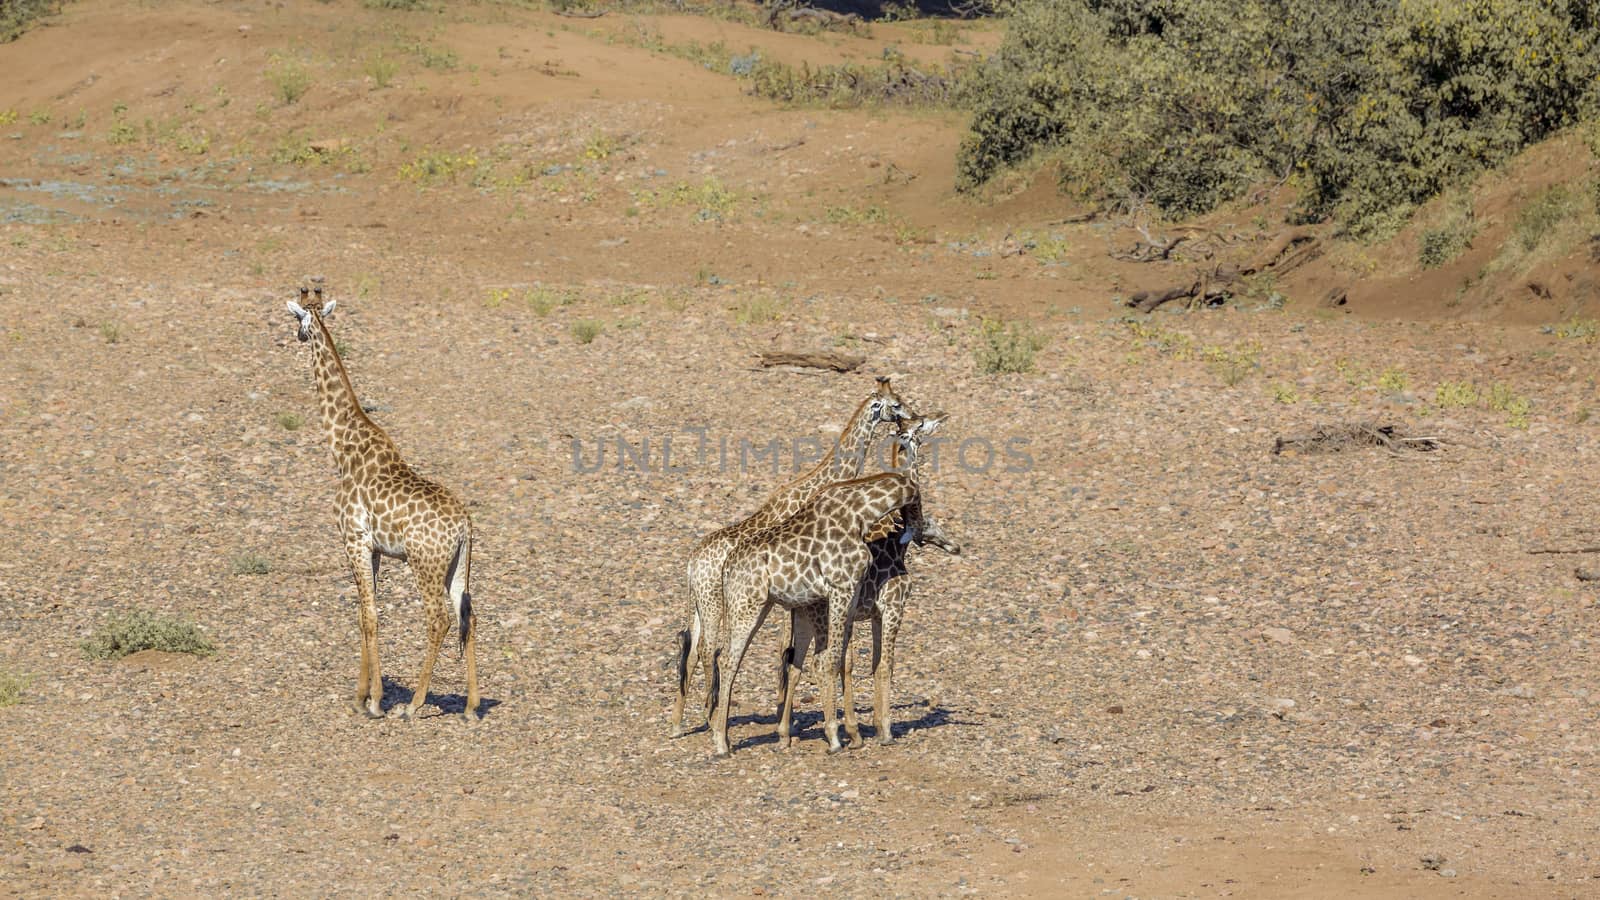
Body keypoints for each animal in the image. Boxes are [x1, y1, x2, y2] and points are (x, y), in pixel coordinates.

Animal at [284, 283, 476, 717]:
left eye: (296, 320)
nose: (297, 338)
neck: (343, 447)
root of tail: (464, 526)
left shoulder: (352, 539)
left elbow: (369, 615)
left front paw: (374, 701)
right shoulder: (372, 549)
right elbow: (364, 614)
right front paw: (362, 696)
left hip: (425, 564)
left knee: (439, 619)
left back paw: (414, 705)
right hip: (458, 565)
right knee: (468, 613)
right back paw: (473, 705)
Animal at [710, 470, 921, 755]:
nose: (918, 532)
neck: (859, 513)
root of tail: (726, 568)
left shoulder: (851, 596)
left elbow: (842, 660)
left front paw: (854, 733)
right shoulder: (844, 590)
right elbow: (833, 660)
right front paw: (838, 737)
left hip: (759, 607)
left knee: (734, 658)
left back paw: (734, 737)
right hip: (747, 606)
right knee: (729, 660)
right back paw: (721, 743)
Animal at [777, 413, 960, 749]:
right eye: (921, 425)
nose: (941, 416)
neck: (893, 538)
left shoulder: (872, 614)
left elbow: (869, 664)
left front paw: (868, 726)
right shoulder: (892, 607)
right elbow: (883, 665)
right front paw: (883, 730)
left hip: (804, 618)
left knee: (793, 664)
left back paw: (785, 733)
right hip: (824, 615)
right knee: (817, 662)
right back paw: (833, 733)